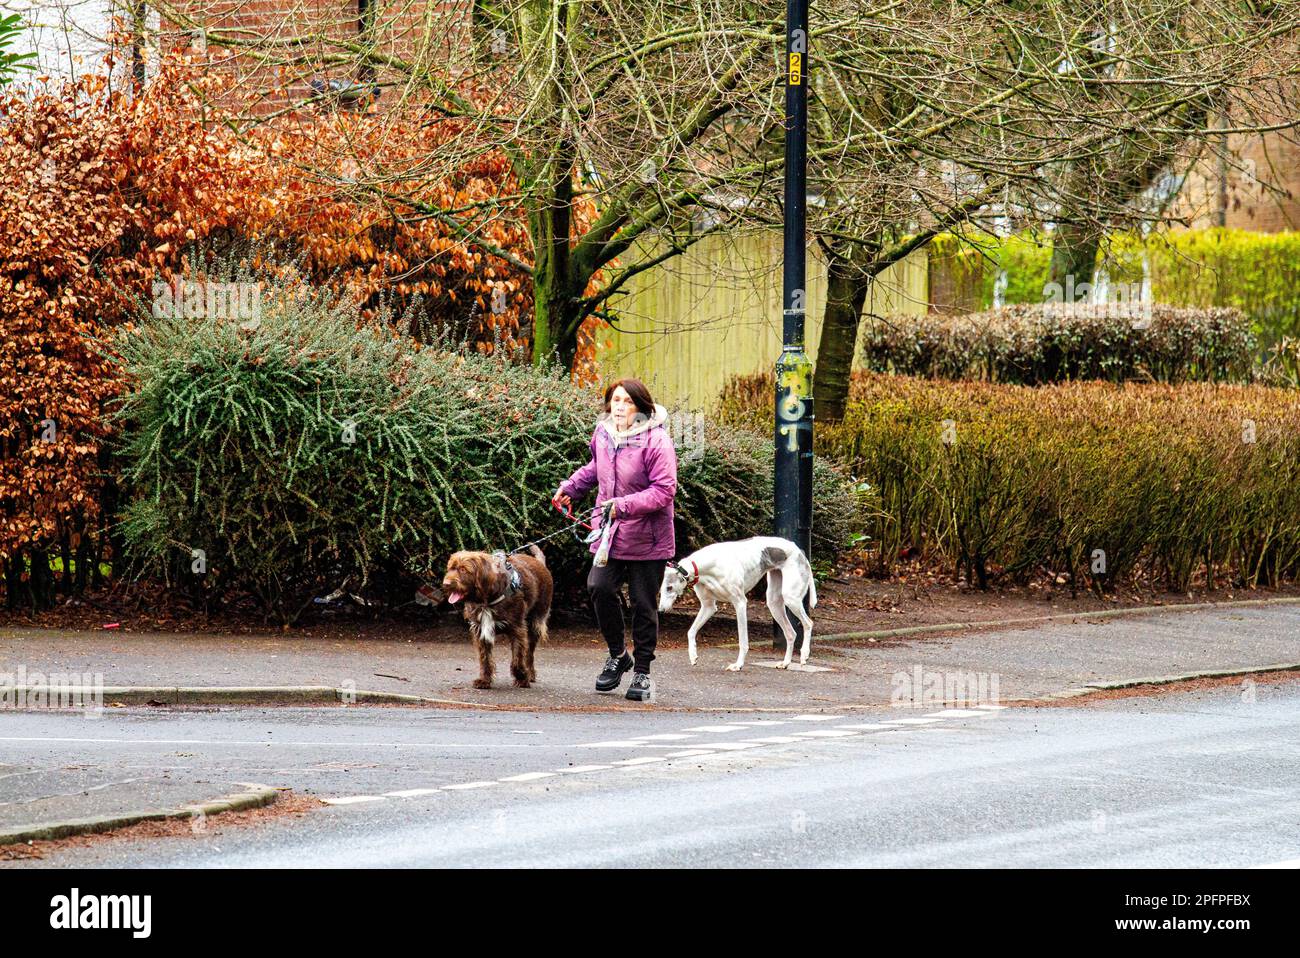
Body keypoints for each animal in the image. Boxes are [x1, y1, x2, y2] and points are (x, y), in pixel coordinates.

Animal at [441, 545, 553, 686]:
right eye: (450, 568)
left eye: (463, 569)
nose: (445, 584)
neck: (487, 598)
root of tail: (539, 563)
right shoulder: (480, 629)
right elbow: (485, 657)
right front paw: (484, 680)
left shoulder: (517, 628)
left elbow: (518, 657)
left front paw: (522, 677)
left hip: (536, 621)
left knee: (529, 653)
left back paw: (530, 674)